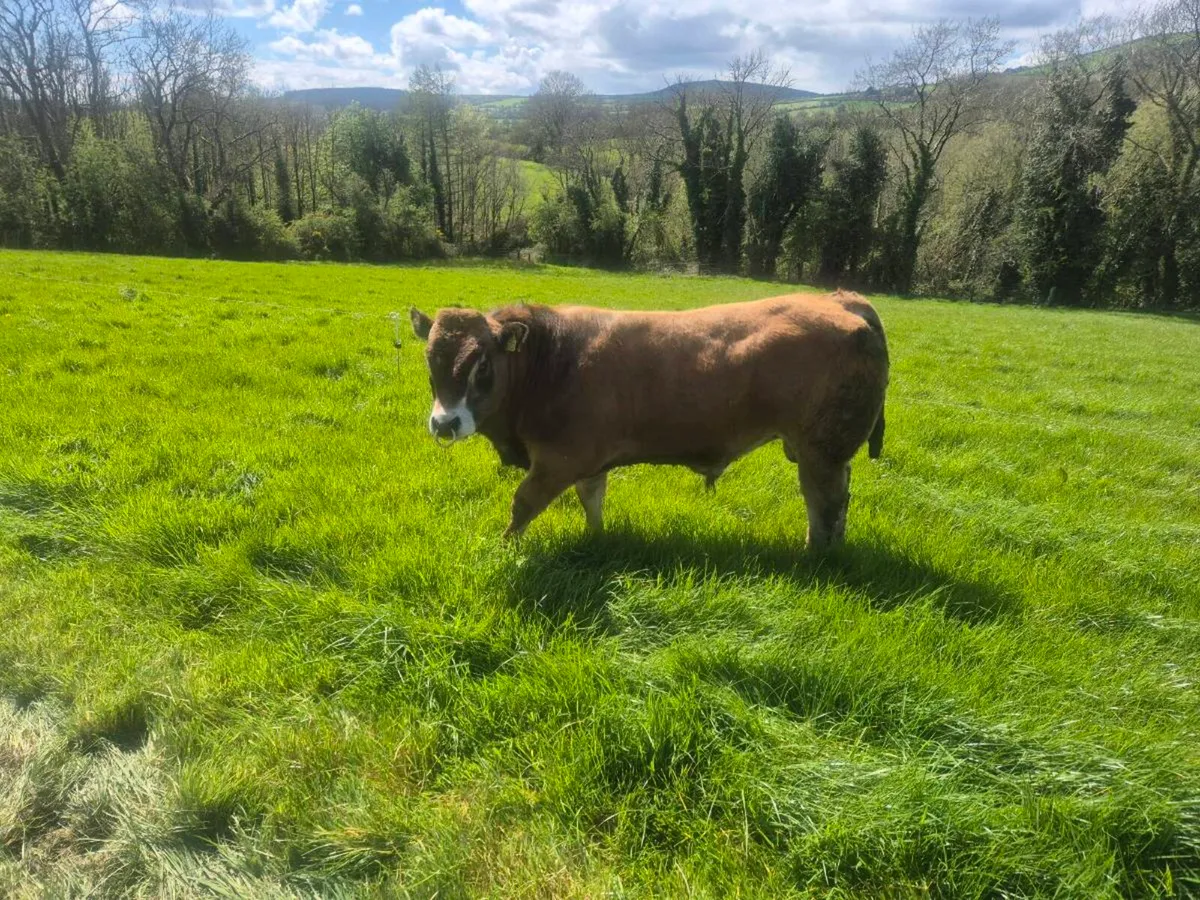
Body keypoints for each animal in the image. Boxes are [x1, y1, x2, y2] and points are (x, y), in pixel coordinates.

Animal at [409, 290, 889, 550]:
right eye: (431, 362)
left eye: (482, 365)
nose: (445, 424)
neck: (555, 358)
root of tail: (841, 300)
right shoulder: (588, 461)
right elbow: (592, 500)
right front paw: (597, 539)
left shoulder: (557, 461)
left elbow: (522, 505)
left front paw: (506, 548)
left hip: (820, 452)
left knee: (825, 505)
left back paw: (817, 554)